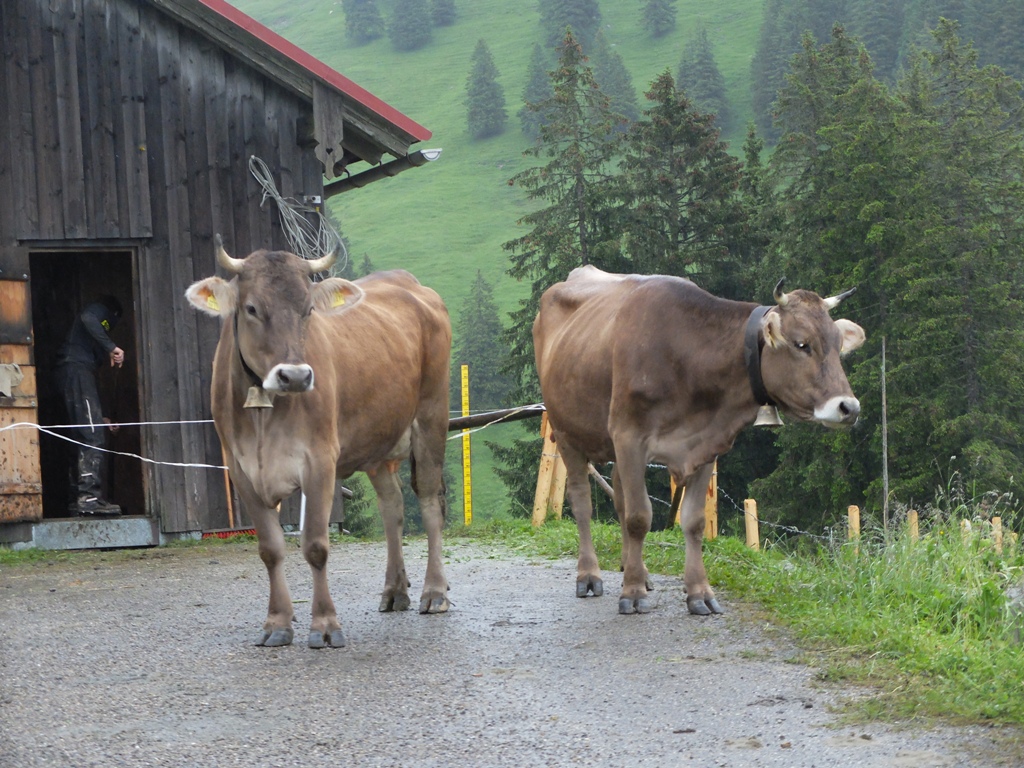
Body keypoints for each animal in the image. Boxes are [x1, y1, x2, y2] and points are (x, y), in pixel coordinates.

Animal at [186, 237, 452, 648]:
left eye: (308, 309)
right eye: (251, 308)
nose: (294, 376)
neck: (264, 415)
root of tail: (412, 284)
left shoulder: (320, 461)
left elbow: (315, 545)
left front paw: (325, 625)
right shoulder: (241, 469)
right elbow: (270, 549)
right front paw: (277, 623)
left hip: (431, 418)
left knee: (428, 504)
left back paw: (434, 592)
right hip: (377, 441)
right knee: (392, 506)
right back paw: (394, 591)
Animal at [534, 266, 865, 615]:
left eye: (838, 346)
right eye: (802, 344)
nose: (849, 407)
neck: (686, 355)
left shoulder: (707, 444)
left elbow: (692, 521)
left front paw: (698, 592)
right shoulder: (629, 436)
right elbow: (639, 517)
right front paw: (633, 594)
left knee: (620, 498)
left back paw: (638, 571)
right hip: (566, 430)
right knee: (582, 502)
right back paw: (589, 575)